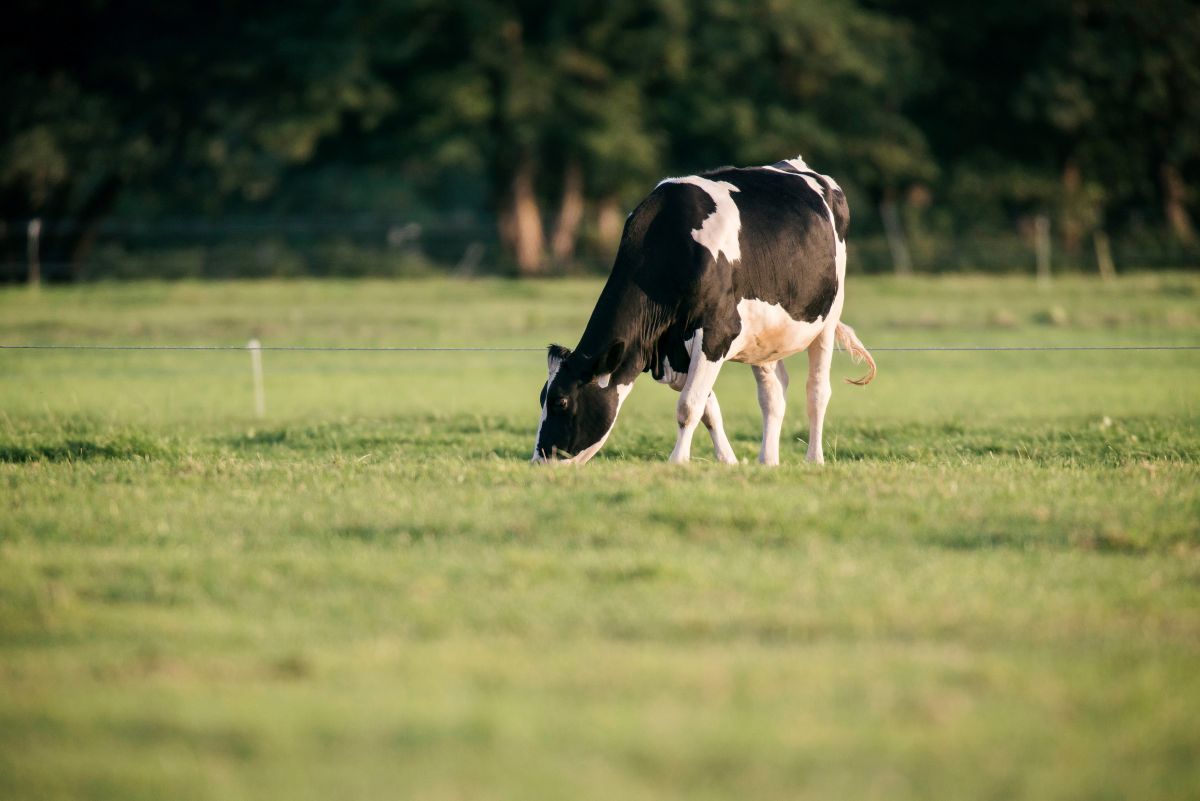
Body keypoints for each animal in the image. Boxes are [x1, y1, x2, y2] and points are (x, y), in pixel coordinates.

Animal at [532, 156, 875, 466]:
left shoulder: (716, 332)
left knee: (817, 392)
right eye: (541, 397)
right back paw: (768, 461)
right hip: (763, 337)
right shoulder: (676, 349)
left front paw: (678, 462)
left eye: (561, 401)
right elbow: (708, 409)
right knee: (773, 396)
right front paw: (728, 461)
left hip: (827, 319)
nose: (539, 461)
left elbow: (688, 406)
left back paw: (814, 460)